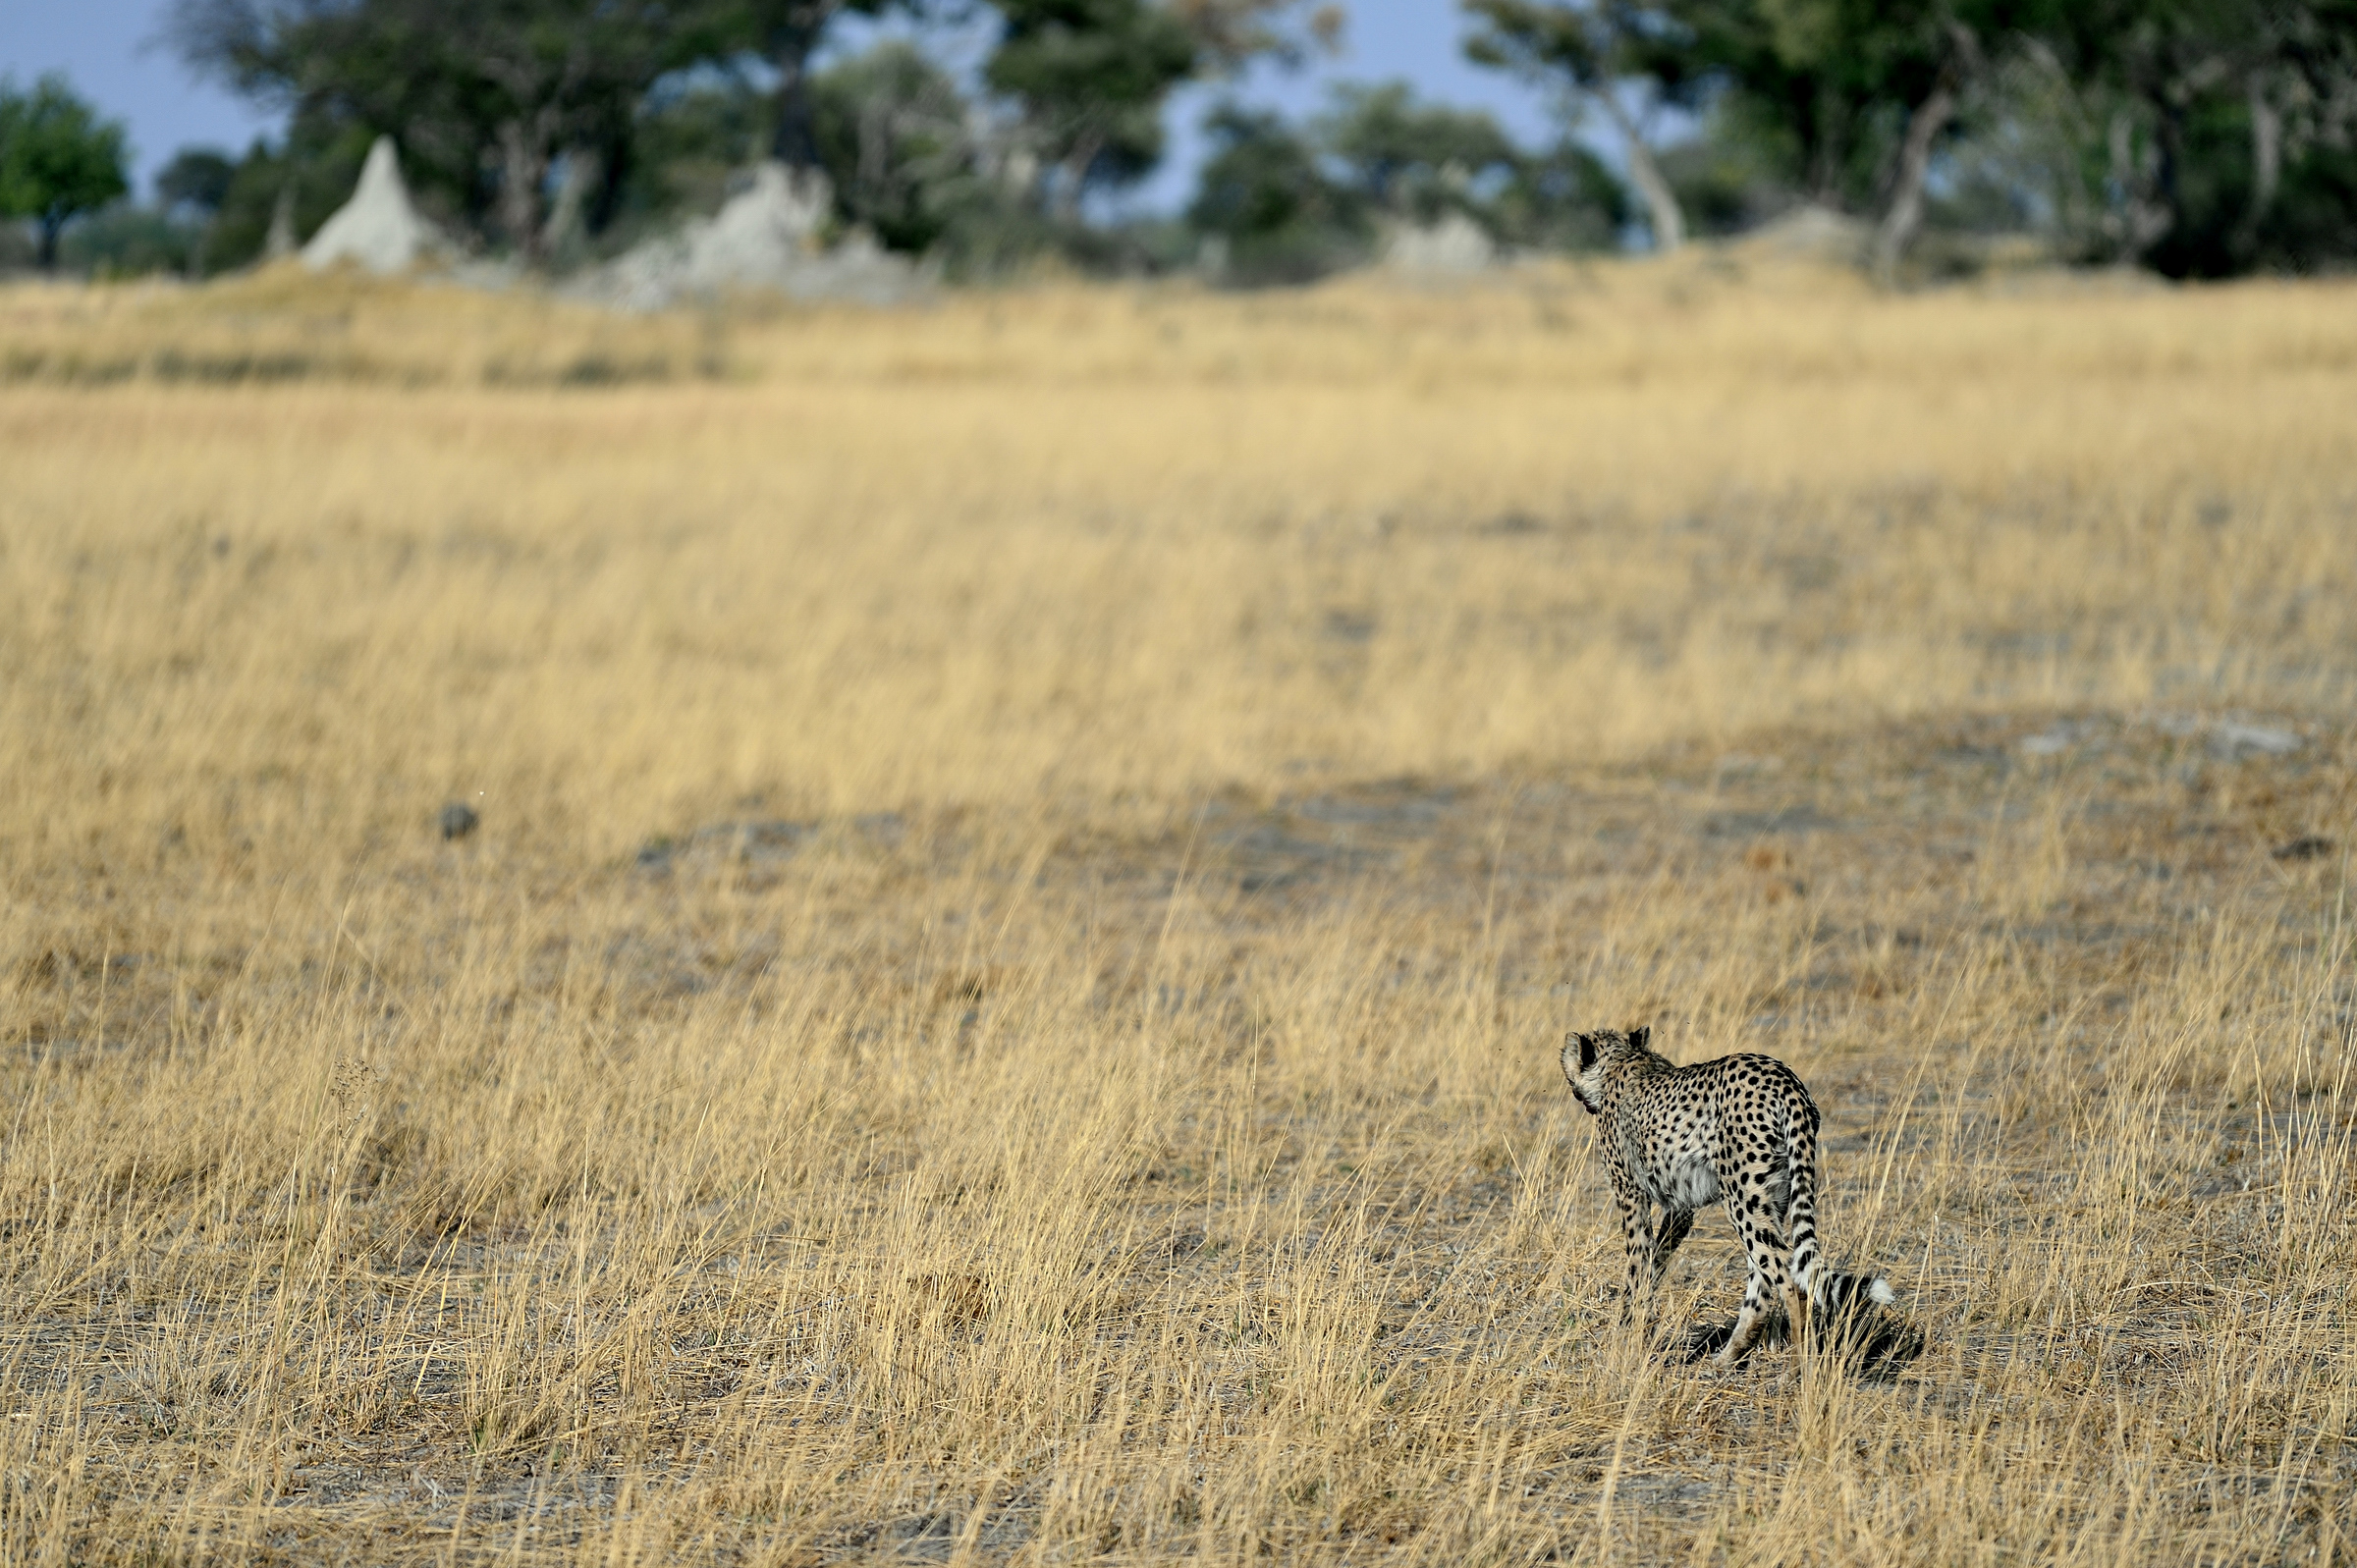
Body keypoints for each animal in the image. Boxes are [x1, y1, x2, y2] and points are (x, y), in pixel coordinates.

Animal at [1562, 1024, 1896, 1367]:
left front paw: (1626, 1337)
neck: (1622, 1061)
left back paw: (1799, 1367)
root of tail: (1782, 1076)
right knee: (1762, 1282)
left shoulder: (1631, 1193)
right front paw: (1640, 1321)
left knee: (1792, 1281)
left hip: (1742, 1197)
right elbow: (1656, 1259)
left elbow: (1638, 1261)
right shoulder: (1681, 1209)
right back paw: (1728, 1355)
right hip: (1771, 1197)